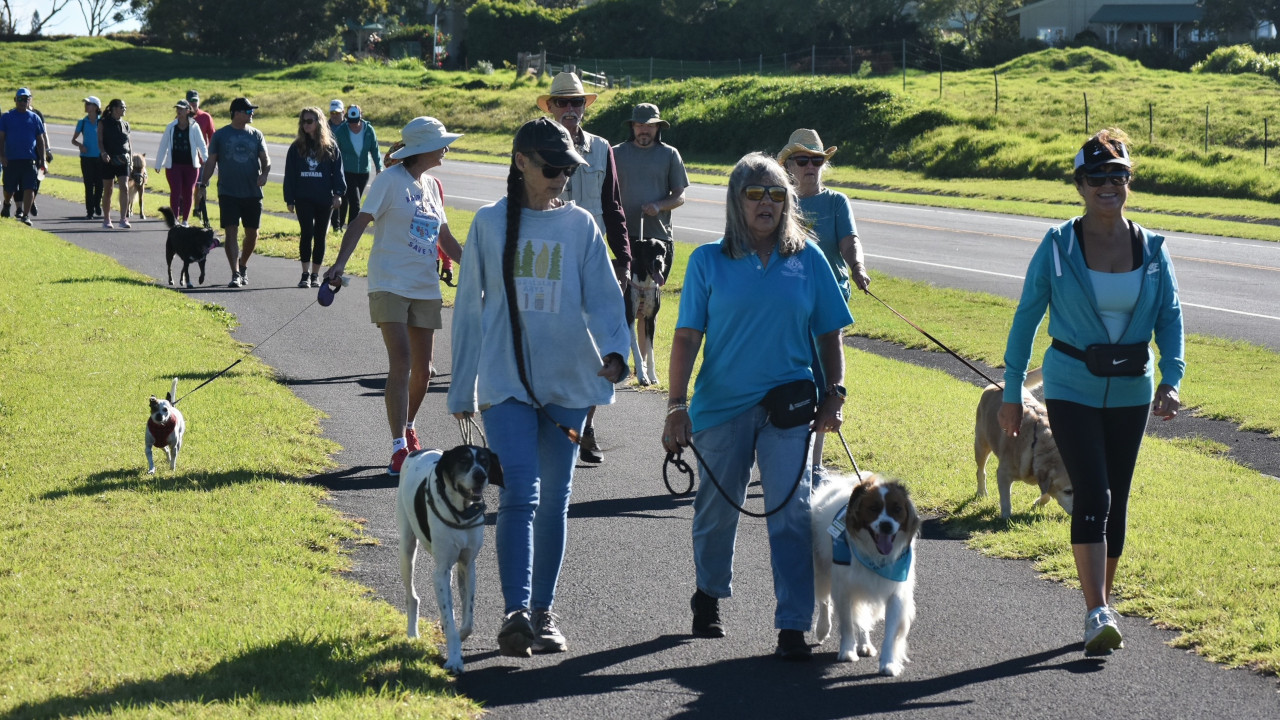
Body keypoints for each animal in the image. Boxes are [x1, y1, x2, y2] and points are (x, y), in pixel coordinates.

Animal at [627, 235, 670, 384]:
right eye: (649, 250)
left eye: (663, 251)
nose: (659, 263)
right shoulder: (629, 318)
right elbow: (636, 349)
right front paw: (642, 376)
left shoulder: (650, 320)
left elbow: (649, 352)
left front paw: (652, 376)